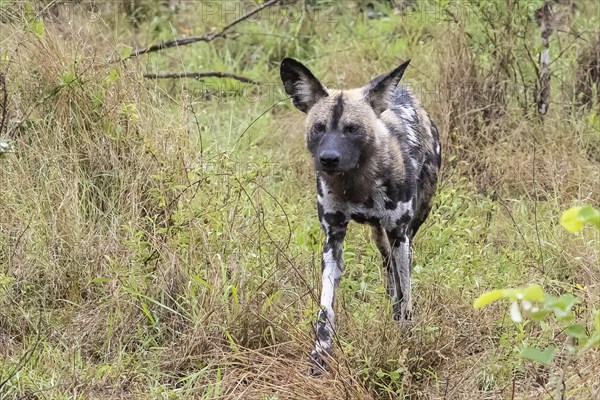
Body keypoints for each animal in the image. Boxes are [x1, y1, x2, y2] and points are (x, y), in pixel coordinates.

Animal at [280, 57, 440, 374]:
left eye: (352, 129)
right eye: (319, 128)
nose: (328, 159)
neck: (356, 186)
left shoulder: (399, 234)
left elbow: (406, 294)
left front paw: (405, 339)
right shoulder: (333, 239)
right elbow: (326, 309)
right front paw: (320, 355)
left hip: (406, 234)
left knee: (400, 277)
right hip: (381, 238)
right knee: (389, 270)